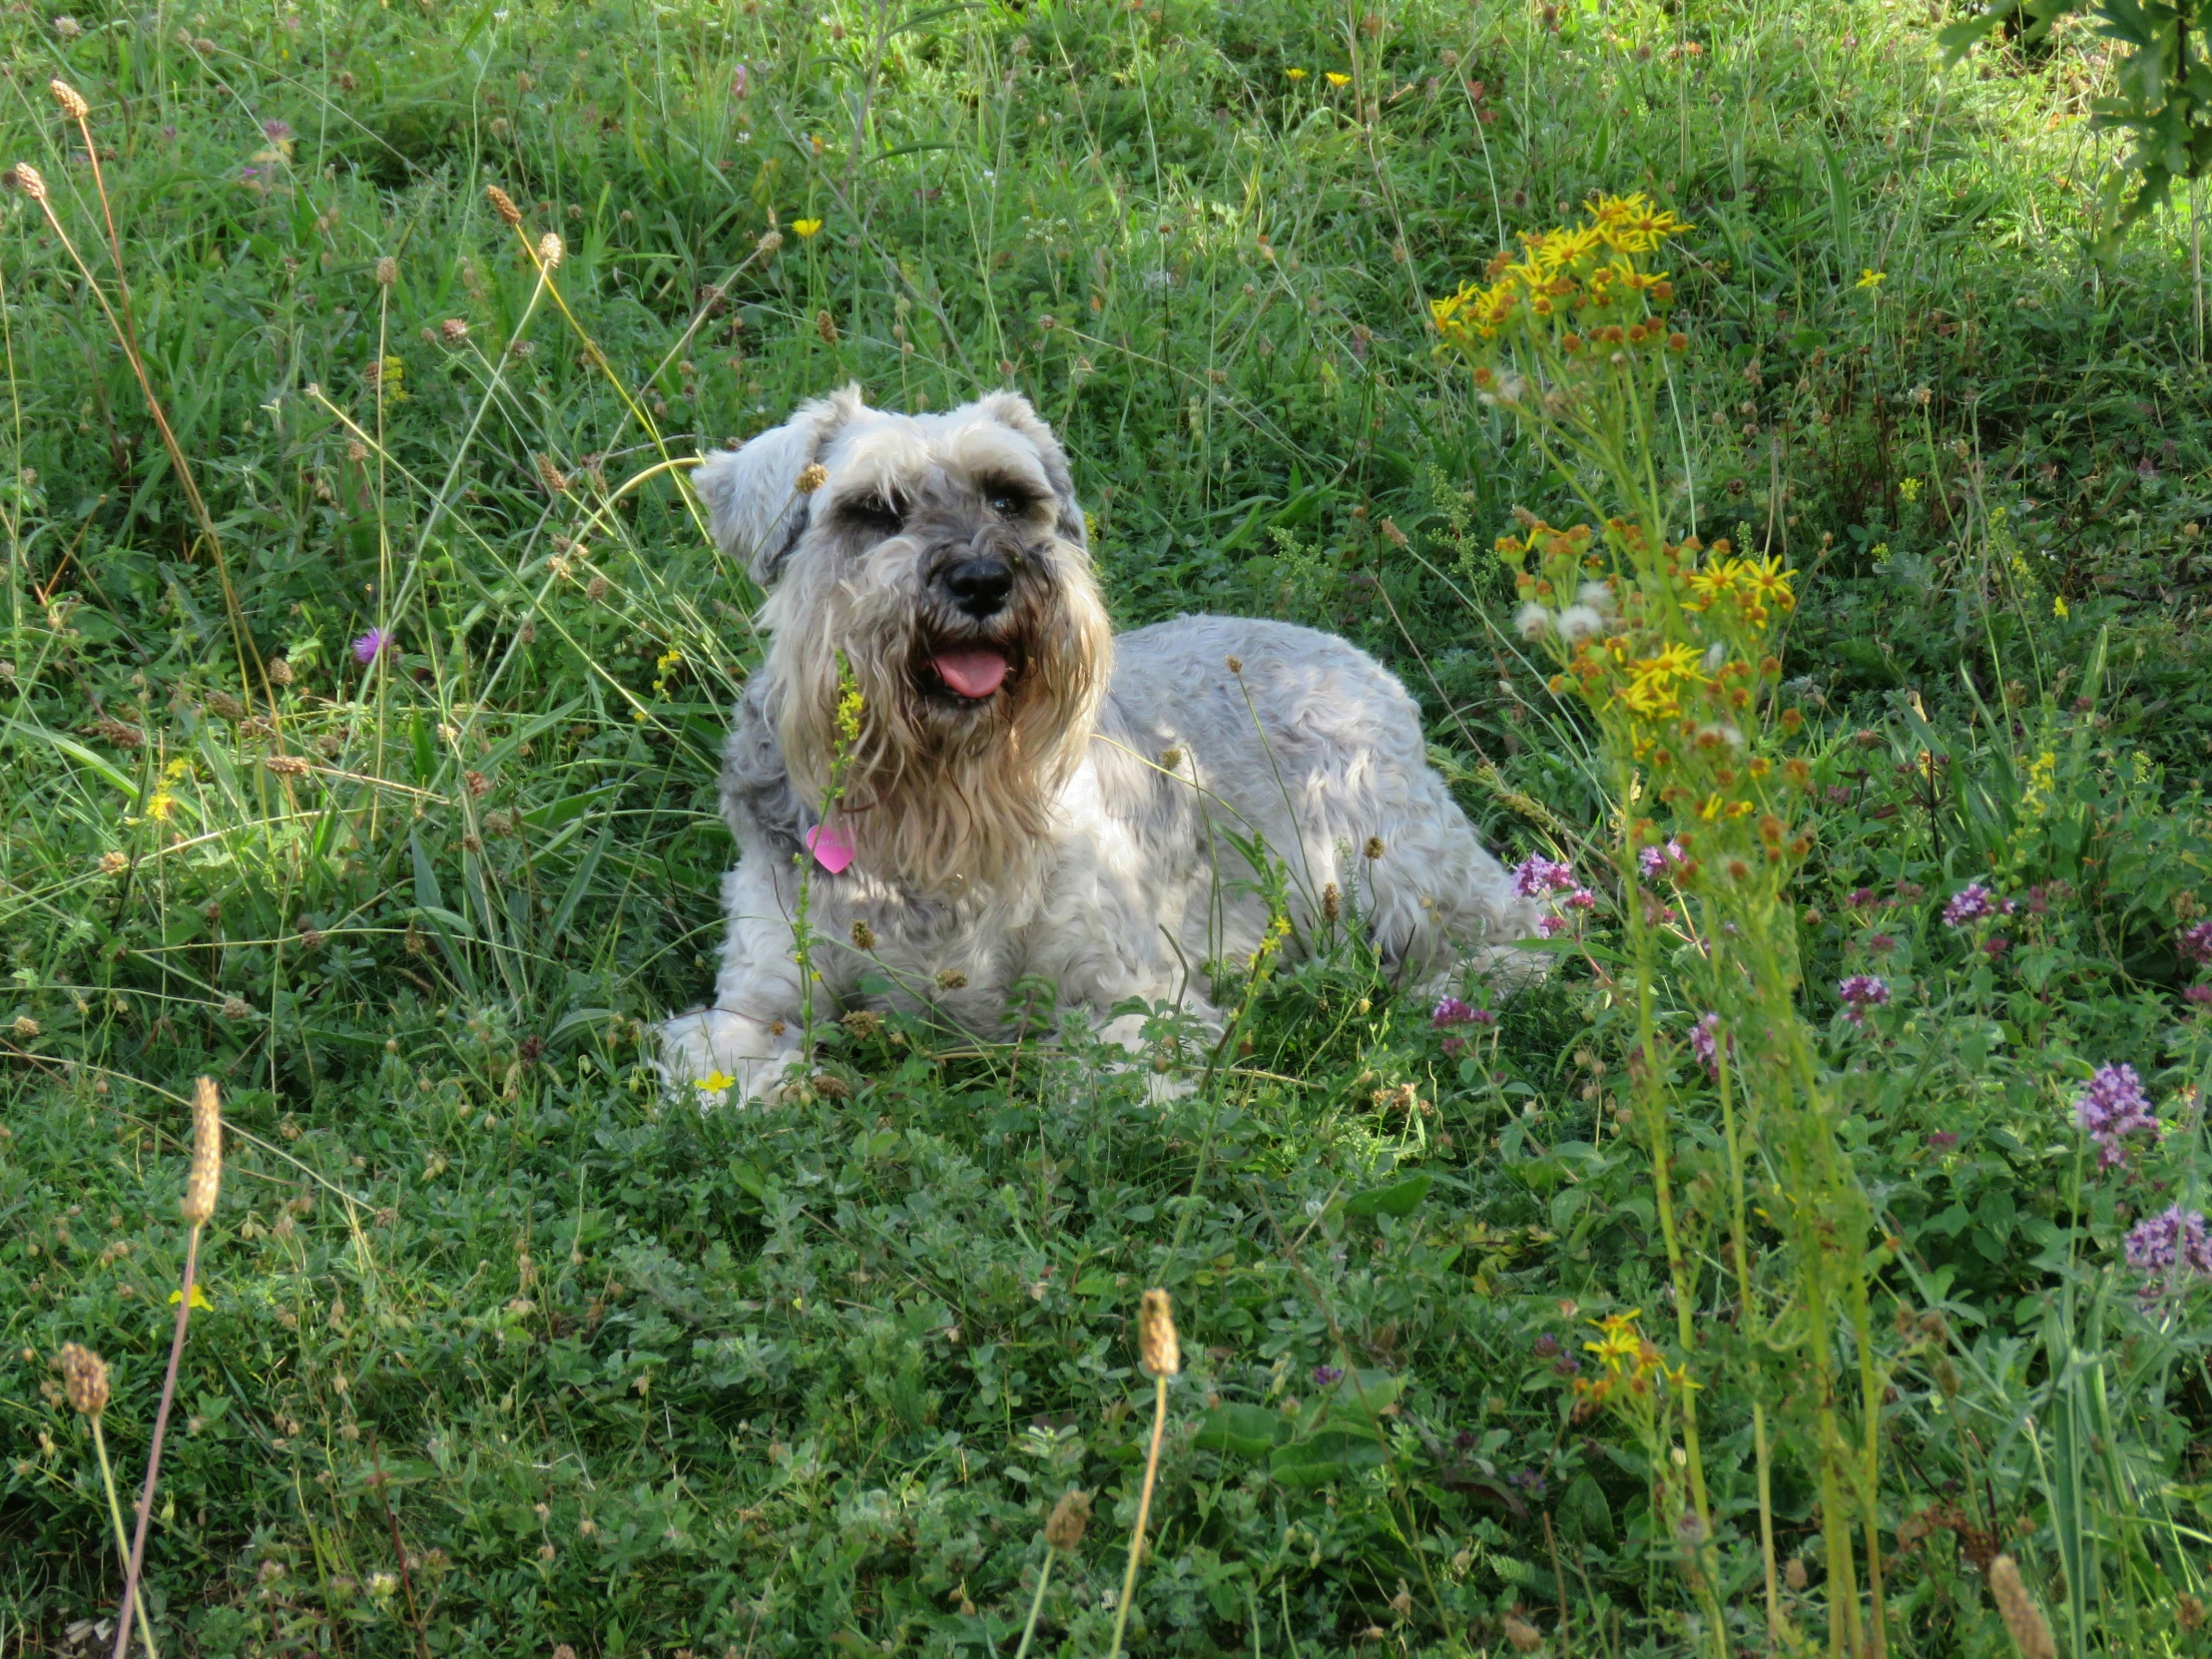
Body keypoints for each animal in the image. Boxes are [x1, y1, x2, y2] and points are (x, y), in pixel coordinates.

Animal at [659, 389, 1539, 1106]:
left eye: (1010, 498)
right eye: (875, 510)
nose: (983, 580)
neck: (937, 810)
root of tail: (1365, 667)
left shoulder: (1128, 990)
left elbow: (1100, 1071)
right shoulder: (755, 1000)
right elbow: (732, 1065)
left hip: (1392, 870)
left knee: (1522, 923)